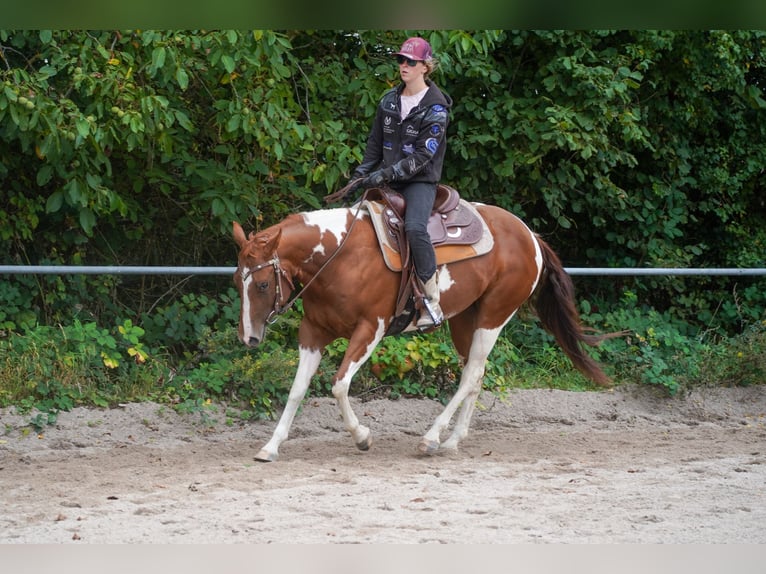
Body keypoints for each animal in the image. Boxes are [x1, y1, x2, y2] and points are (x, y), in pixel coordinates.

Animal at [233, 193, 615, 462]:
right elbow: (297, 390)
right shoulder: (313, 332)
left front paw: (362, 437)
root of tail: (529, 235)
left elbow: (339, 385)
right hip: (464, 318)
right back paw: (452, 441)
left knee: (470, 375)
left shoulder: (370, 330)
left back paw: (431, 438)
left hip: (494, 315)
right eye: (238, 280)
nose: (249, 338)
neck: (339, 257)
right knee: (476, 373)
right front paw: (271, 446)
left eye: (263, 284)